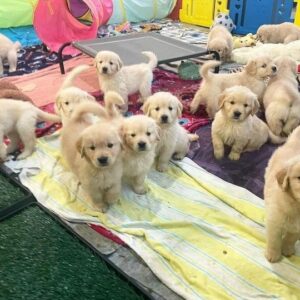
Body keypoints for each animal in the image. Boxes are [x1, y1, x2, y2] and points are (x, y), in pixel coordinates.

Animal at [264, 125, 300, 262]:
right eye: (299, 178)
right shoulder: (274, 221)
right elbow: (274, 240)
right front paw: (273, 255)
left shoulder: (297, 229)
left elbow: (291, 238)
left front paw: (287, 250)